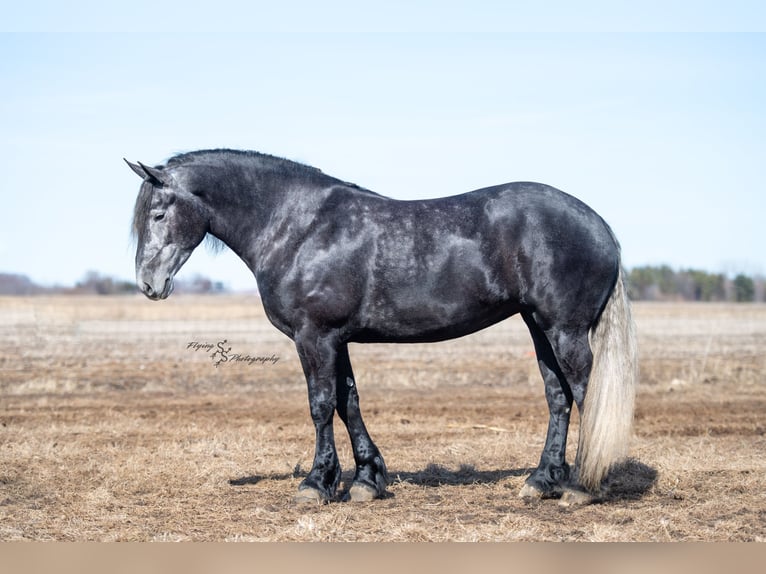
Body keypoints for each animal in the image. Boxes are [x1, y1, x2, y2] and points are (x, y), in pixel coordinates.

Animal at [127, 148, 637, 506]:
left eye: (158, 214)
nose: (149, 284)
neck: (300, 227)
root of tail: (599, 226)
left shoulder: (315, 337)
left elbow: (321, 406)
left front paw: (316, 484)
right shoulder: (337, 339)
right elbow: (348, 402)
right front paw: (367, 481)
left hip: (565, 329)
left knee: (586, 393)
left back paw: (583, 487)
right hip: (538, 326)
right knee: (558, 397)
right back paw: (541, 481)